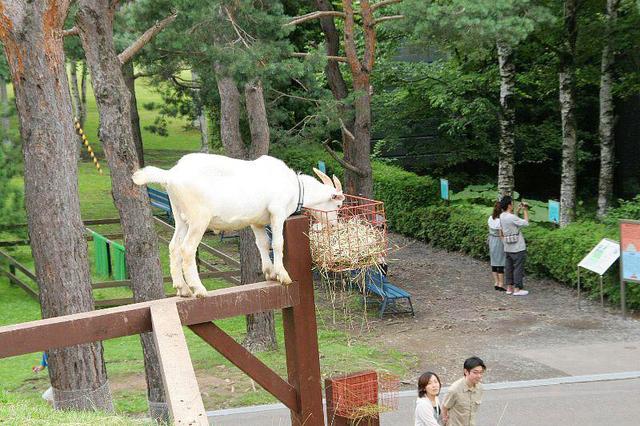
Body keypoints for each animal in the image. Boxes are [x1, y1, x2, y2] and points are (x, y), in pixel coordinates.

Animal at [132, 152, 344, 296]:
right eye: (338, 204)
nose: (334, 226)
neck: (295, 188)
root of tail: (170, 176)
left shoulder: (257, 221)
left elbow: (262, 244)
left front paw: (269, 273)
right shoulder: (277, 212)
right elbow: (277, 243)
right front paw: (282, 275)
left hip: (181, 217)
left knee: (174, 246)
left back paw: (182, 289)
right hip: (199, 219)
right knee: (187, 249)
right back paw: (198, 289)